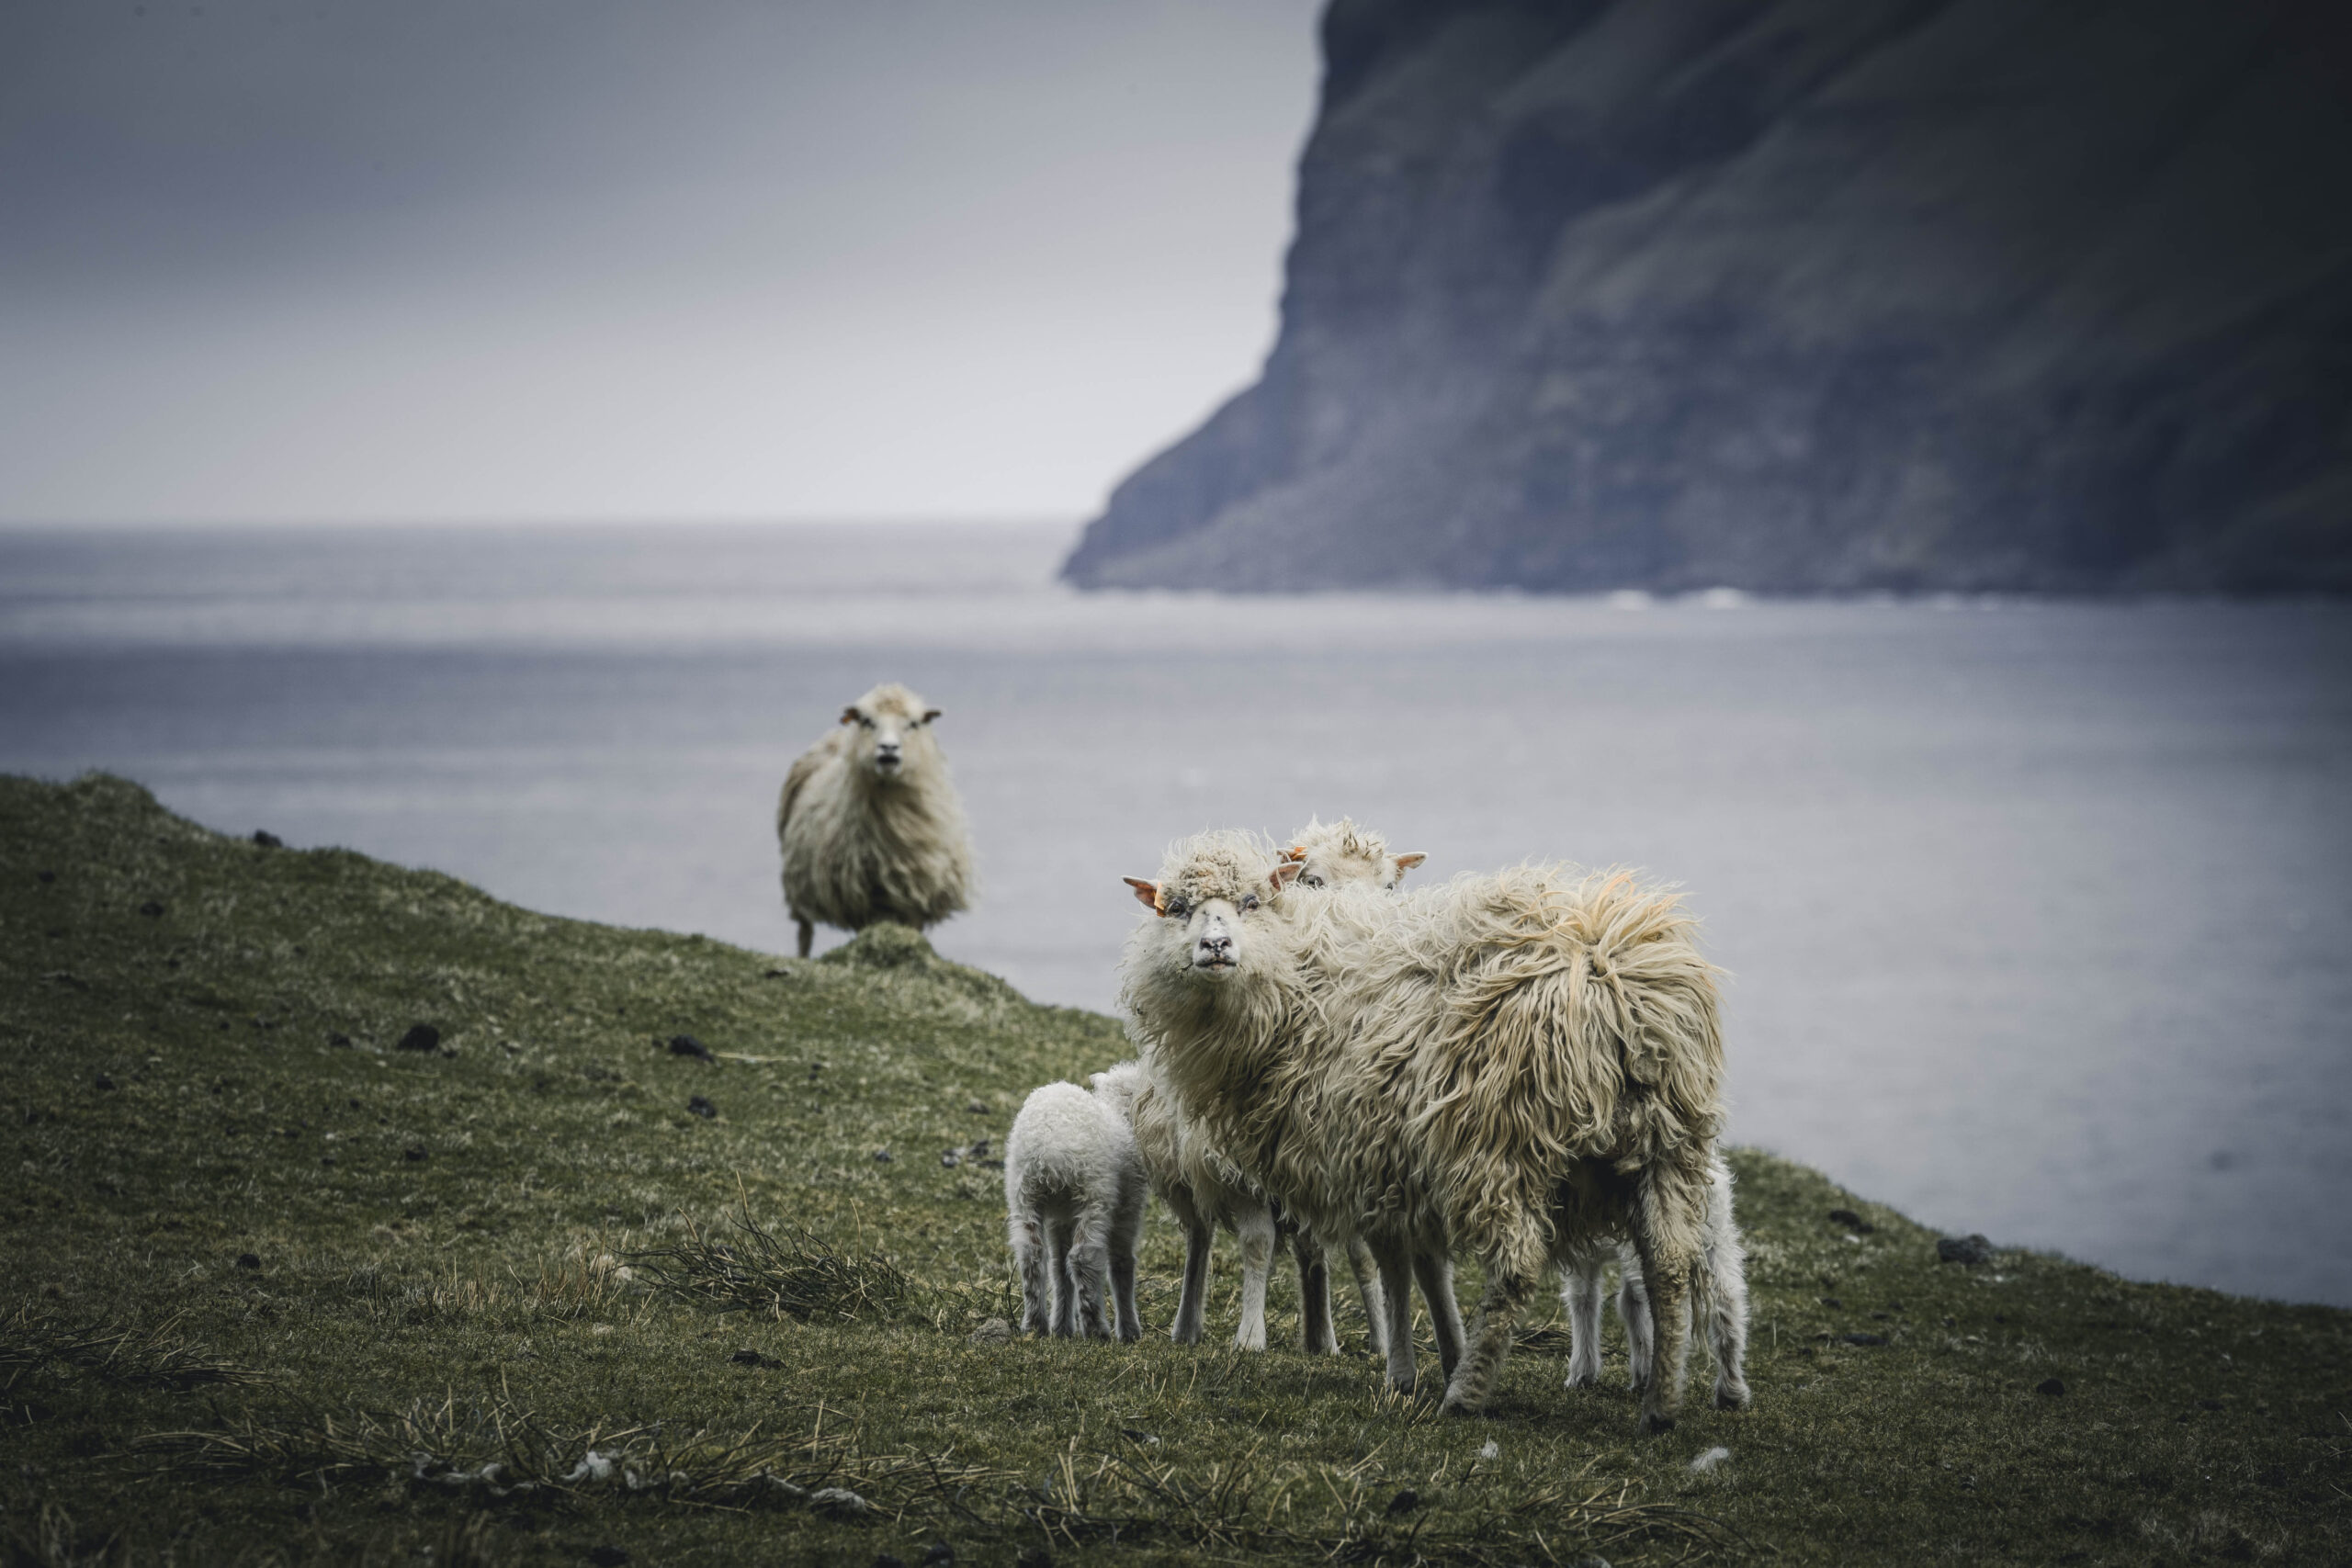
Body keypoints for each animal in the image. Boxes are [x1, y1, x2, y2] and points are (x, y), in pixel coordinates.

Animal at [775, 682, 968, 959]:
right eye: (867, 721)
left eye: (913, 723)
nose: (888, 748)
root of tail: (836, 736)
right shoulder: (861, 897)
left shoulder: (917, 896)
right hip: (798, 883)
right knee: (804, 931)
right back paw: (802, 958)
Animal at [1001, 1072, 1148, 1344]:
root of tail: (1051, 1148)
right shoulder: (1128, 1208)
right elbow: (1122, 1264)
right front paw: (1130, 1331)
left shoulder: (1061, 1218)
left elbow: (1059, 1269)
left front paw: (1061, 1328)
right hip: (1094, 1195)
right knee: (1084, 1257)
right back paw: (1096, 1328)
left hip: (1024, 1195)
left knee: (1032, 1255)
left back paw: (1036, 1325)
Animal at [1561, 1152, 1749, 1410]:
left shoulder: (1581, 1248)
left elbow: (1584, 1301)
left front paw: (1581, 1375)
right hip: (1716, 1229)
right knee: (1727, 1298)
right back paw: (1731, 1393)